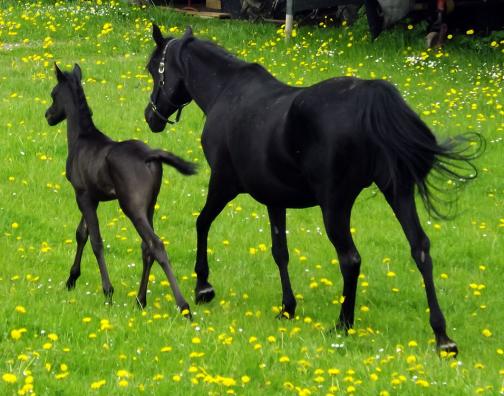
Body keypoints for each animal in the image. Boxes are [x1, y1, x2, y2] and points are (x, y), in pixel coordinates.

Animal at [45, 62, 195, 316]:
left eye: (54, 94)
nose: (48, 115)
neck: (82, 137)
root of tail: (150, 155)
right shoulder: (92, 197)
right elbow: (82, 234)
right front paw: (71, 279)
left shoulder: (82, 195)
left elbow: (96, 241)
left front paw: (108, 292)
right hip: (149, 207)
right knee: (147, 248)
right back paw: (140, 300)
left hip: (132, 207)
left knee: (156, 245)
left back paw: (183, 306)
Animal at [144, 25, 482, 352]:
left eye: (153, 69)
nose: (151, 117)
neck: (227, 91)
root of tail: (369, 98)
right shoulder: (274, 199)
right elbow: (280, 251)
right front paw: (287, 307)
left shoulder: (223, 183)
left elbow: (202, 223)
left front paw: (203, 286)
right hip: (397, 192)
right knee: (420, 248)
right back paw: (442, 336)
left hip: (335, 205)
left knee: (350, 259)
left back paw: (343, 324)